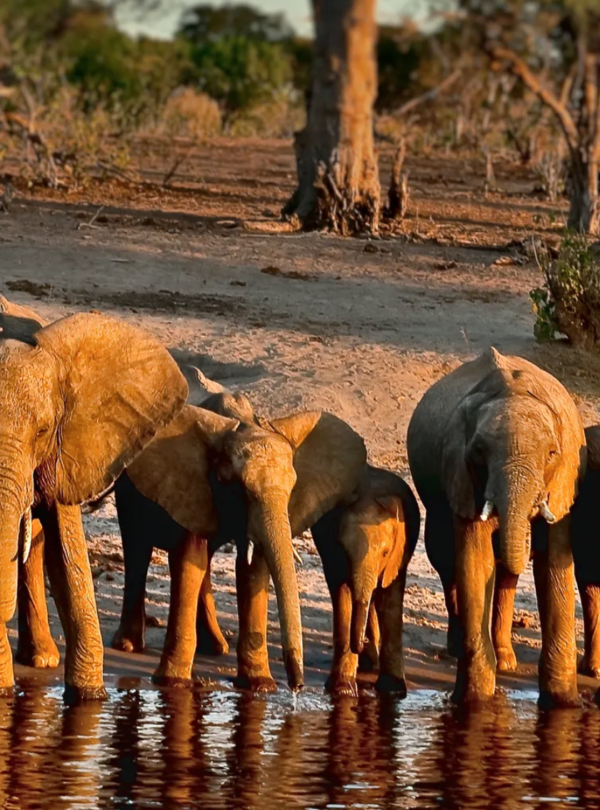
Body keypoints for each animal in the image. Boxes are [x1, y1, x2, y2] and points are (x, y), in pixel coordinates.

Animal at [314, 464, 422, 696]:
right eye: (343, 550)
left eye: (385, 553)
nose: (361, 642)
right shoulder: (331, 551)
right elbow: (343, 596)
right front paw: (342, 690)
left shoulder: (399, 553)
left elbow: (389, 599)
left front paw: (393, 691)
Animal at [408, 348, 584, 708]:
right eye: (478, 451)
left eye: (551, 453)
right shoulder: (461, 472)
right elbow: (476, 561)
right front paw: (473, 702)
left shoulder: (563, 480)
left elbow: (553, 562)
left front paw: (562, 703)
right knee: (445, 557)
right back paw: (457, 649)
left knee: (506, 573)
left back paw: (505, 660)